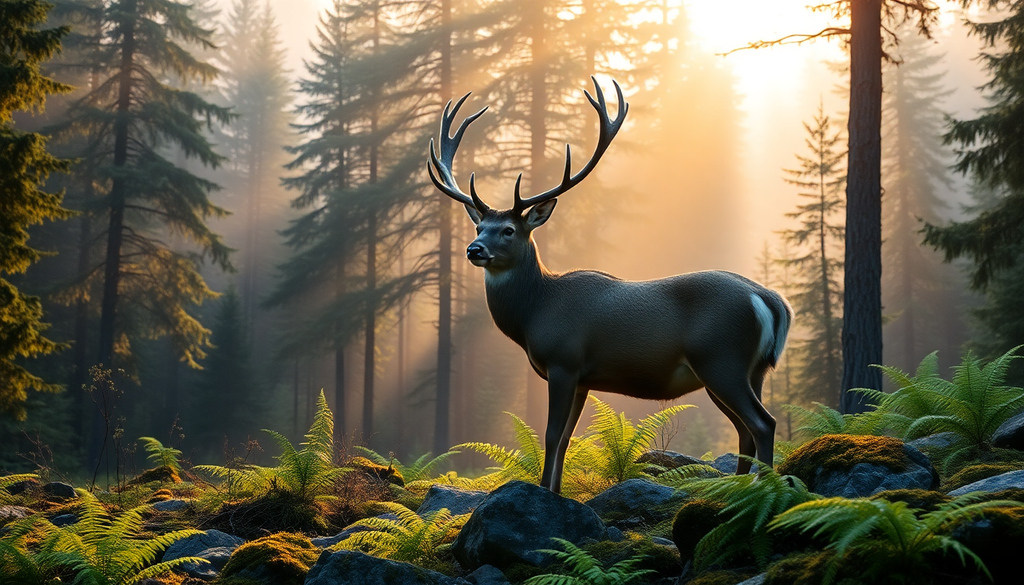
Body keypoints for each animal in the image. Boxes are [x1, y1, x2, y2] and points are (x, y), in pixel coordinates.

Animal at [427, 78, 793, 494]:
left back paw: (761, 489)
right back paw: (735, 488)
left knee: (763, 423)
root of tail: (769, 300)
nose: (475, 250)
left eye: (508, 230)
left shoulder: (563, 361)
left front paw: (544, 492)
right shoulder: (582, 378)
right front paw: (554, 491)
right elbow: (566, 438)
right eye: (478, 226)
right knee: (745, 429)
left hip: (721, 358)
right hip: (747, 370)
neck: (535, 312)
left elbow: (551, 434)